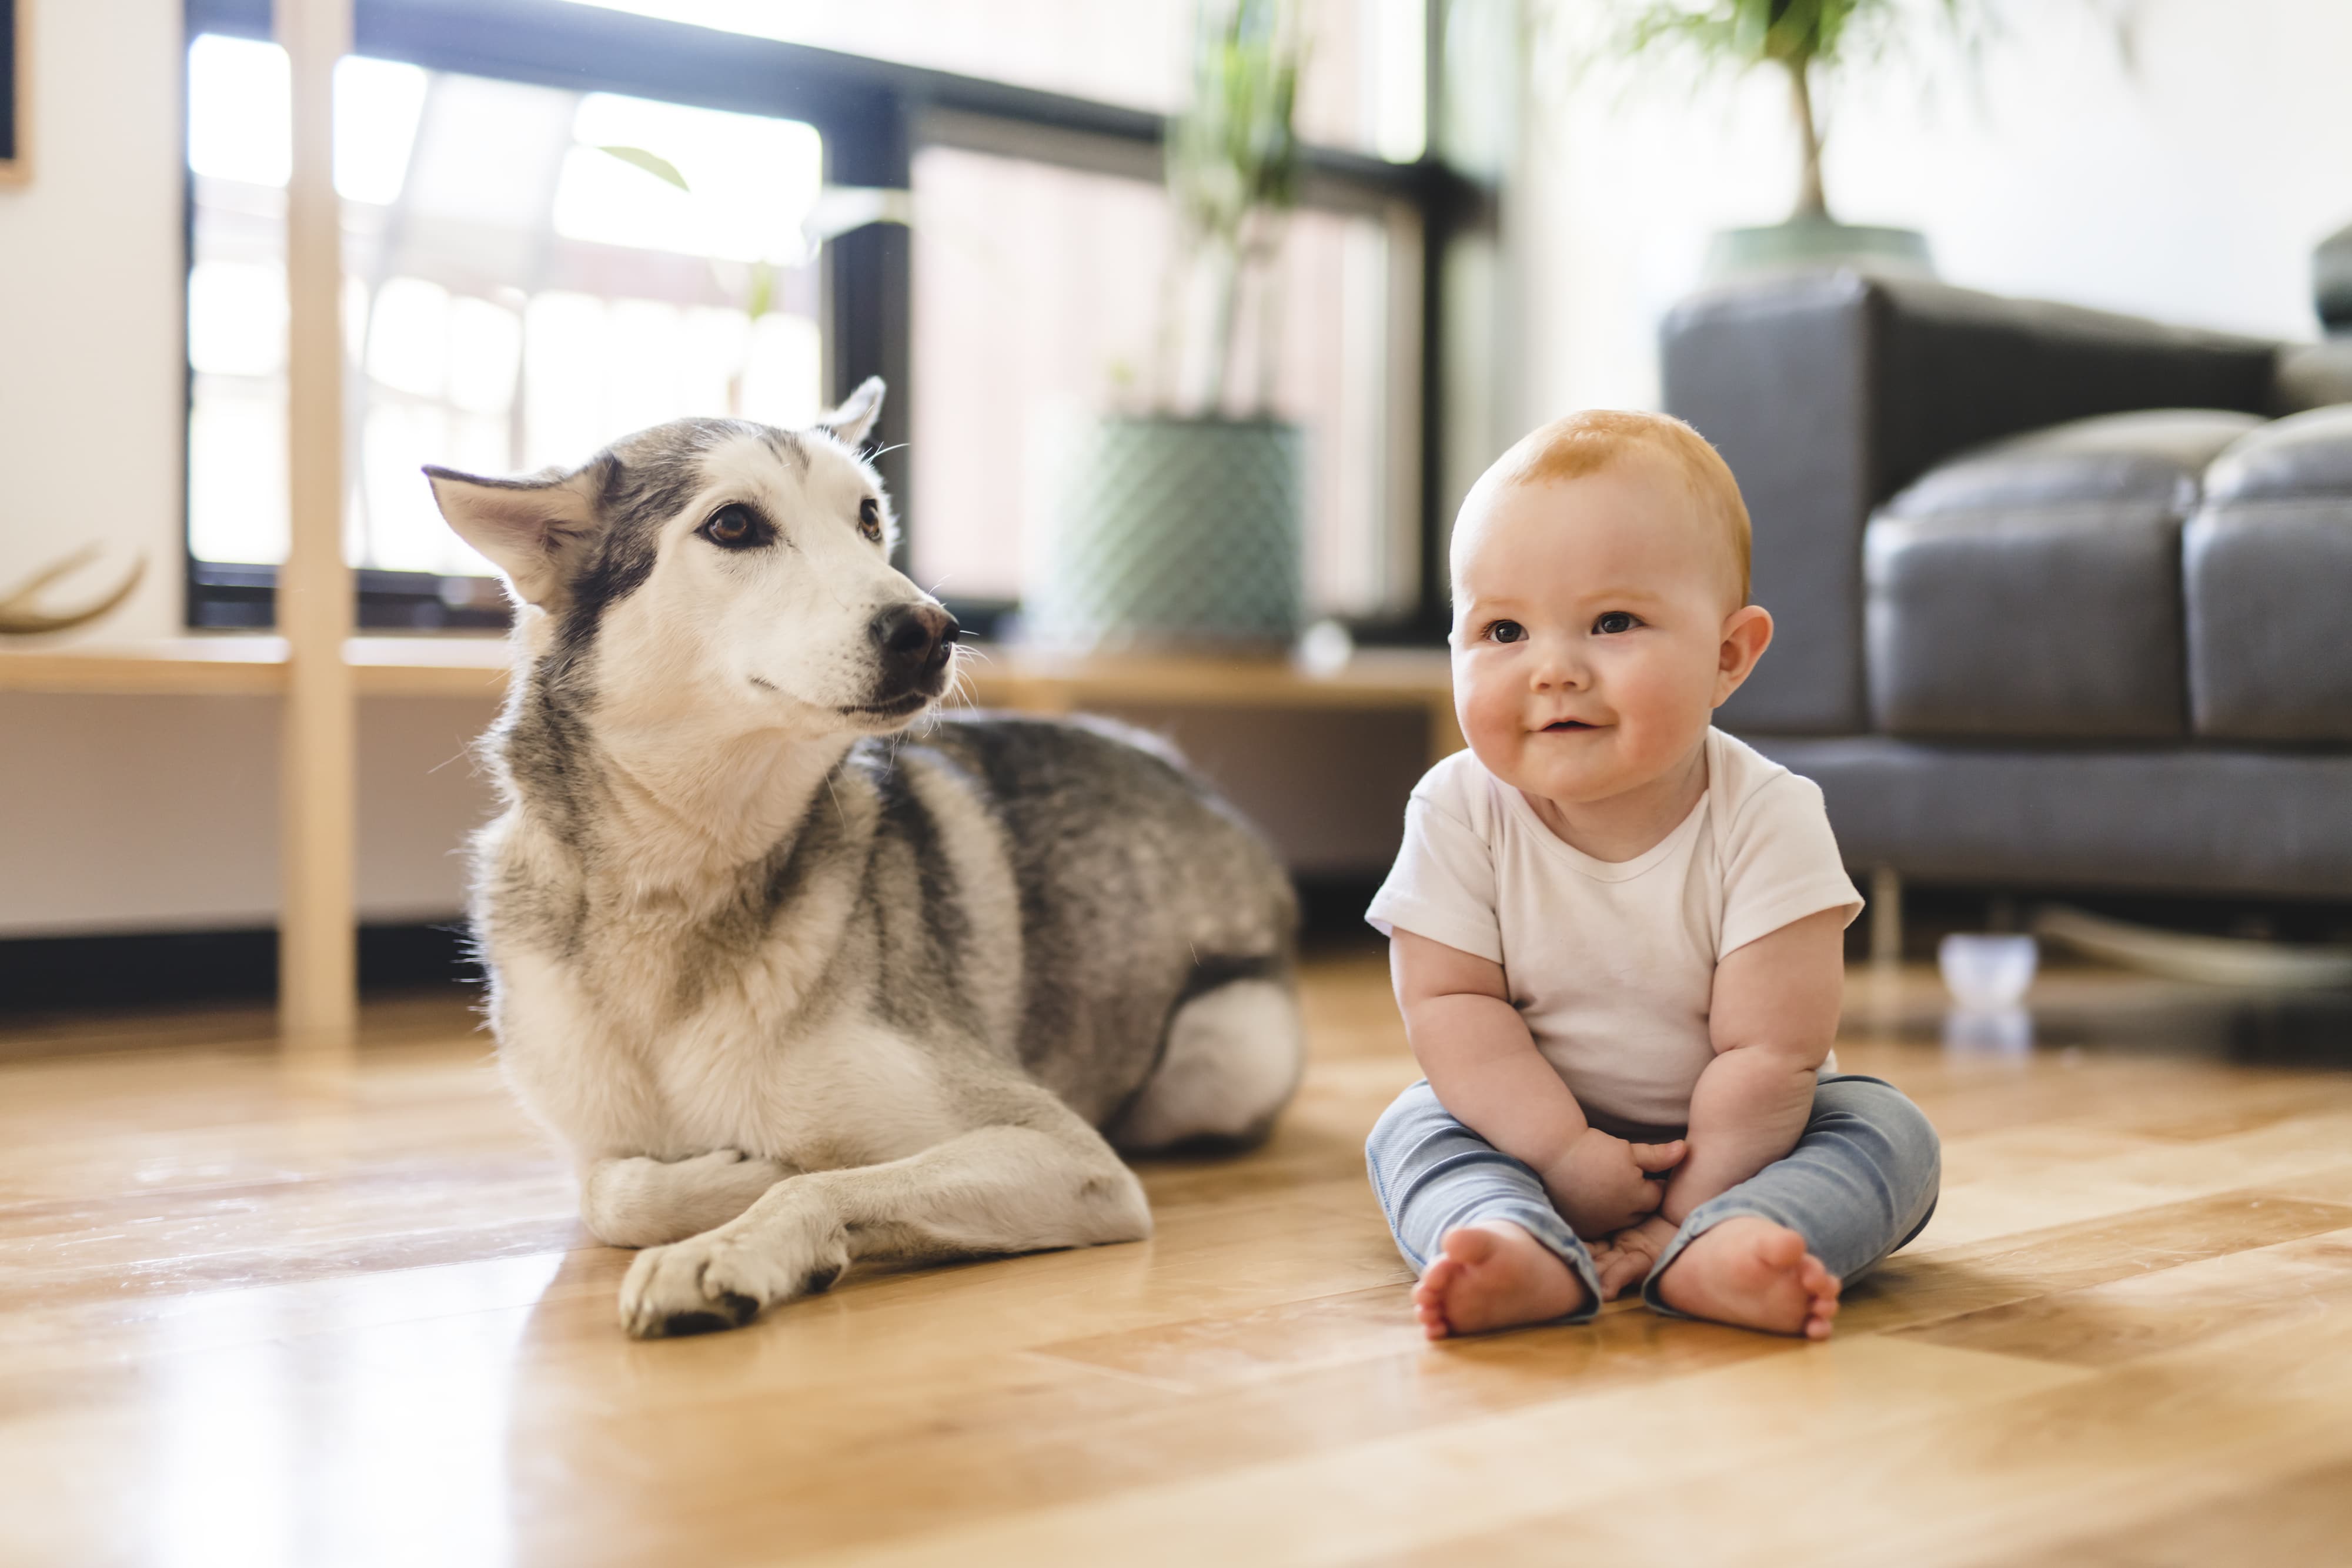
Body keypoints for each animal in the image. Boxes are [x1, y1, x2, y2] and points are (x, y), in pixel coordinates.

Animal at [428, 376, 1308, 1335]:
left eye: (868, 519)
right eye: (733, 525)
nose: (932, 627)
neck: (686, 878)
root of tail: (1181, 767)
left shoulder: (1070, 1155)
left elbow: (819, 1181)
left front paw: (734, 1234)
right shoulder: (596, 1144)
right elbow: (613, 1191)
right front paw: (730, 1179)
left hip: (1227, 1052)